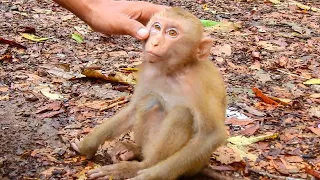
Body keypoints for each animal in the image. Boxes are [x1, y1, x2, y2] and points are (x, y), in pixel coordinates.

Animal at [72, 7, 228, 180]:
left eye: (172, 33)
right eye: (157, 27)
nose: (155, 42)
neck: (174, 71)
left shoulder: (202, 84)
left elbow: (211, 135)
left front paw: (149, 175)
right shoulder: (148, 71)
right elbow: (133, 109)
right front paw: (87, 146)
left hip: (192, 165)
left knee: (182, 114)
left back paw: (139, 165)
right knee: (150, 101)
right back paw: (135, 151)